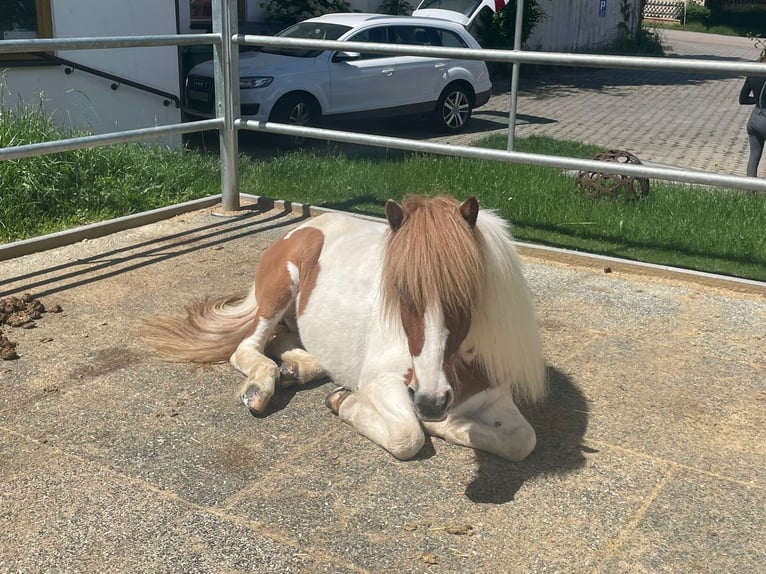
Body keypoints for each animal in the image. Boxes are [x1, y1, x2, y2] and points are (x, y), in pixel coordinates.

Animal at [141, 195, 546, 461]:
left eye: (467, 294)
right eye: (399, 291)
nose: (431, 402)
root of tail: (302, 227)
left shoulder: (494, 395)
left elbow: (523, 440)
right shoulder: (384, 383)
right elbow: (407, 437)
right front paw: (345, 402)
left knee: (287, 340)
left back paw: (295, 370)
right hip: (278, 291)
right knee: (249, 347)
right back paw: (262, 386)